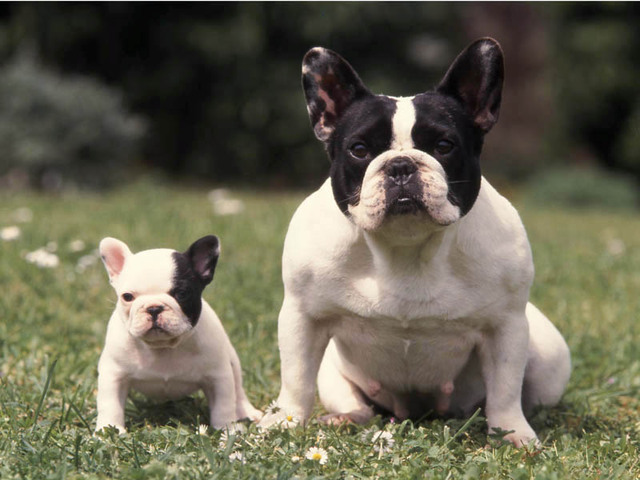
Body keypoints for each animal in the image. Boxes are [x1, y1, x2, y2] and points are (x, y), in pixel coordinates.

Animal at [95, 234, 260, 434]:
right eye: (127, 297)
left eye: (181, 293)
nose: (154, 308)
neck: (163, 347)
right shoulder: (113, 374)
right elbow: (109, 404)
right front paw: (108, 431)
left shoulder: (218, 375)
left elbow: (224, 405)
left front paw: (226, 429)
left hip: (233, 361)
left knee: (238, 389)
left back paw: (247, 411)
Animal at [262, 37, 572, 446]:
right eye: (359, 150)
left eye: (443, 145)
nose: (401, 165)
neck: (406, 249)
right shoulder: (302, 317)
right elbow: (296, 379)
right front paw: (284, 422)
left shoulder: (506, 326)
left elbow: (506, 389)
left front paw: (513, 435)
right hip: (332, 371)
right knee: (355, 404)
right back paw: (343, 418)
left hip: (550, 356)